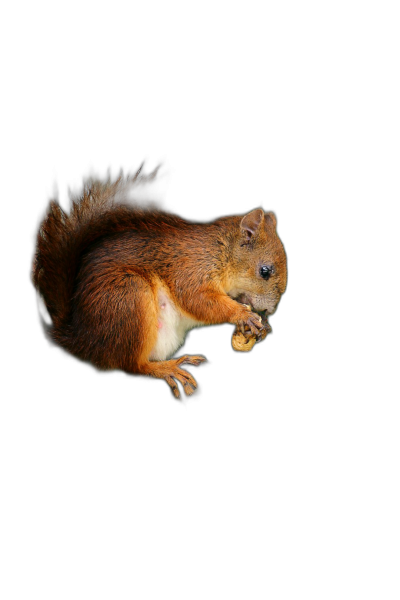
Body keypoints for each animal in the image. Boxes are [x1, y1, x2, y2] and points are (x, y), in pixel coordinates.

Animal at [31, 163, 288, 398]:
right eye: (265, 271)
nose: (270, 311)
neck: (220, 251)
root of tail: (82, 341)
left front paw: (262, 325)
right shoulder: (189, 269)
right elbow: (198, 300)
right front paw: (242, 314)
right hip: (129, 297)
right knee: (134, 366)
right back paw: (167, 368)